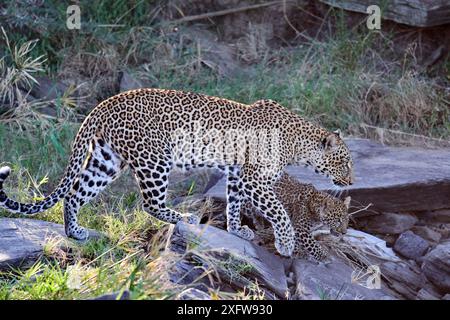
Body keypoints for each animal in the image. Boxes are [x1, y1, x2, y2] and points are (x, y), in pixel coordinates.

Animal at [0, 89, 354, 256]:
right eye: (346, 162)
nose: (352, 181)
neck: (298, 144)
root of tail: (105, 103)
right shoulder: (254, 178)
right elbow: (279, 212)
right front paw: (285, 244)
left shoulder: (238, 175)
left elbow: (235, 203)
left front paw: (237, 230)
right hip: (155, 159)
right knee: (149, 203)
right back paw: (184, 217)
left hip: (106, 160)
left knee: (75, 193)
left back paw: (75, 232)